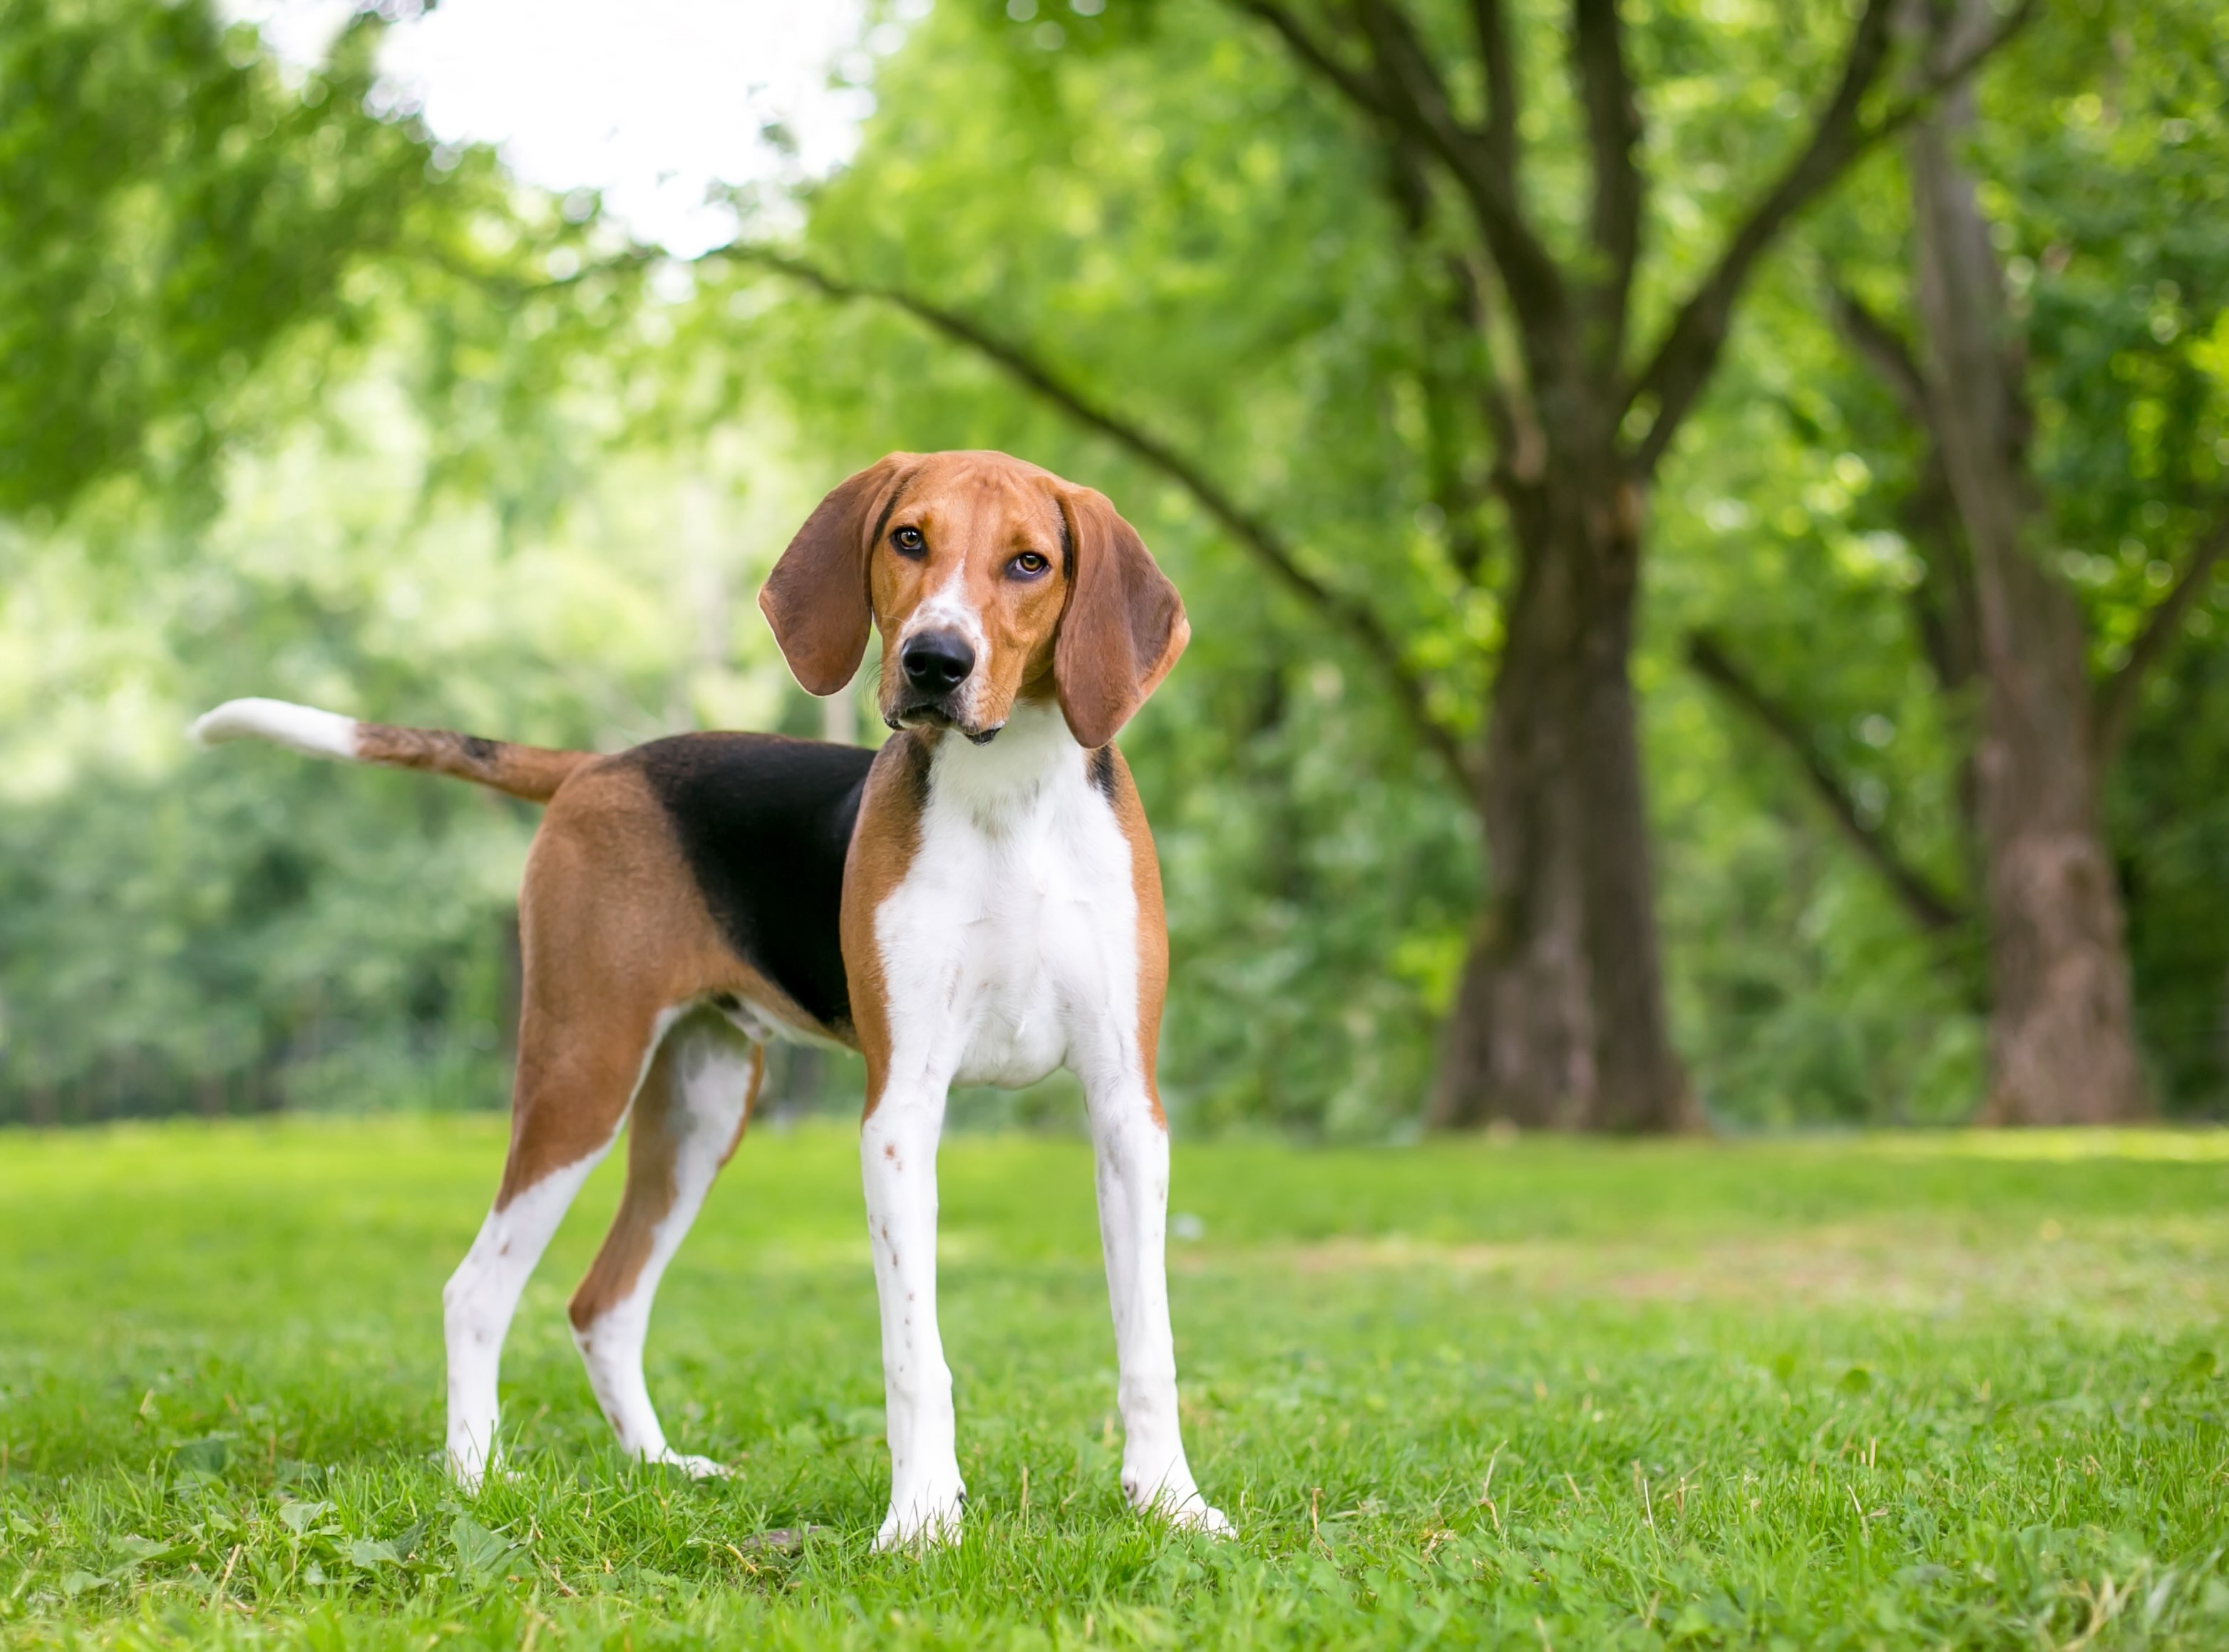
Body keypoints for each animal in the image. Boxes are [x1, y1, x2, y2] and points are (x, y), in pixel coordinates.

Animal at [191, 448, 1239, 1542]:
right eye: (907, 537)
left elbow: (1148, 1342)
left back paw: (658, 1468)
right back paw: (476, 1479)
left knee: (603, 1303)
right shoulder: (901, 1113)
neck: (1013, 802)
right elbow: (916, 1352)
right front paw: (920, 1520)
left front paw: (1171, 1501)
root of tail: (601, 764)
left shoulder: (1126, 1107)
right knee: (475, 1290)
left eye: (1030, 561)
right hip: (583, 1075)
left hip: (697, 1111)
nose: (934, 662)